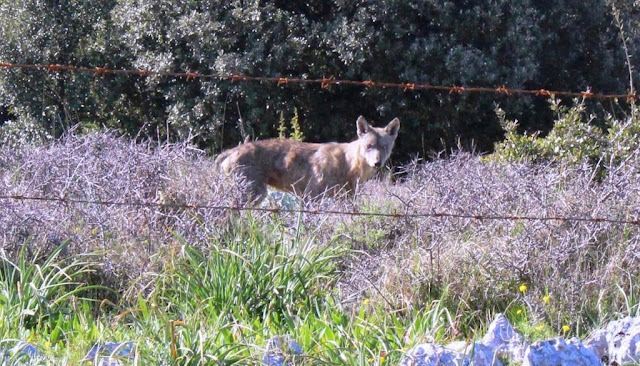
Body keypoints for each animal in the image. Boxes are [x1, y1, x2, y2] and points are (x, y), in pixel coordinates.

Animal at [219, 116, 400, 204]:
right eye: (369, 146)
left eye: (384, 147)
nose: (377, 163)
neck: (348, 165)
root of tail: (231, 150)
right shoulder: (310, 197)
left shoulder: (346, 200)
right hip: (255, 195)